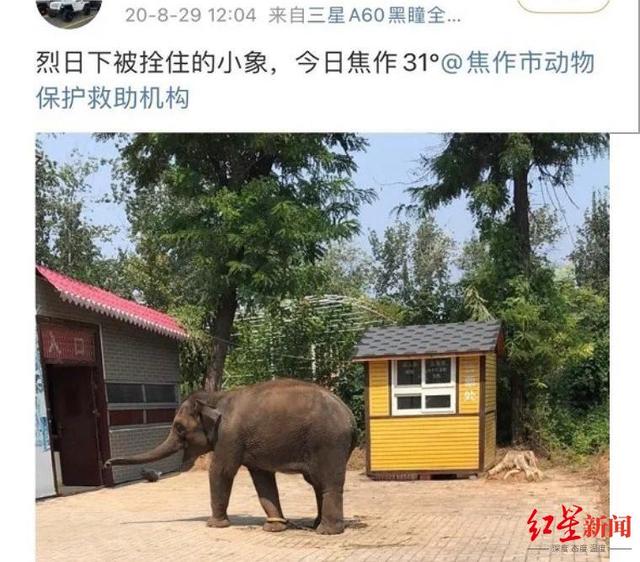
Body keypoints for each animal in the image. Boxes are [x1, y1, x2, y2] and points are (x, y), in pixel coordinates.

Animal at [105, 378, 358, 535]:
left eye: (179, 428)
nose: (106, 463)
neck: (214, 397)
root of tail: (350, 416)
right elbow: (262, 479)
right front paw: (274, 527)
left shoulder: (229, 435)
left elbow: (221, 471)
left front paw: (214, 525)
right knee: (316, 483)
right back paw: (316, 525)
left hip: (329, 442)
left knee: (328, 482)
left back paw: (327, 531)